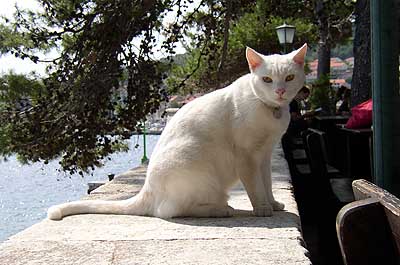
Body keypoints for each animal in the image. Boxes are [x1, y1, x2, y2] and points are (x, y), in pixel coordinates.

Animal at [48, 44, 308, 220]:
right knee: (169, 211)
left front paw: (273, 203)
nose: (280, 91)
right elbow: (256, 187)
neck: (270, 110)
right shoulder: (247, 158)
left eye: (289, 77)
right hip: (195, 166)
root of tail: (147, 188)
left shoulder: (264, 156)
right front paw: (262, 208)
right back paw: (221, 210)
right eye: (267, 80)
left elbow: (267, 183)